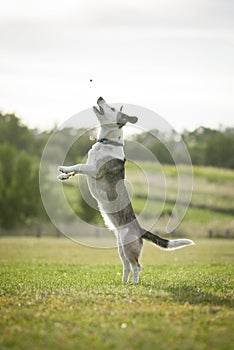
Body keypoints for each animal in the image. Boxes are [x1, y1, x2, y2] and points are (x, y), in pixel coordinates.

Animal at [57, 97, 195, 284]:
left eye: (112, 108)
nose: (100, 98)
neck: (106, 142)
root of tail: (140, 230)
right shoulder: (89, 167)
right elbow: (76, 170)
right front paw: (64, 175)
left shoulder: (93, 170)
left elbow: (79, 166)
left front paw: (64, 168)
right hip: (121, 248)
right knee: (127, 266)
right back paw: (124, 283)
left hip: (129, 248)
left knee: (137, 266)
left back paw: (134, 284)